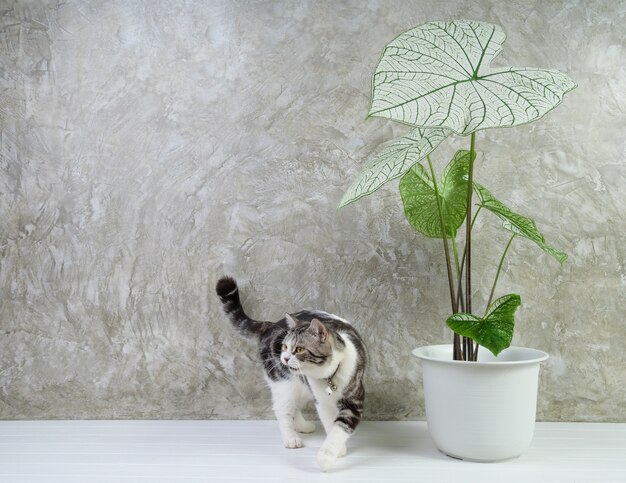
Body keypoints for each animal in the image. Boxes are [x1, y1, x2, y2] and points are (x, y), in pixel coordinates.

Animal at [214, 276, 366, 472]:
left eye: (299, 349)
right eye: (284, 346)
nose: (285, 358)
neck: (328, 377)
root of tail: (270, 325)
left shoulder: (354, 400)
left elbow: (338, 429)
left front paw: (329, 453)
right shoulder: (322, 401)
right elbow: (330, 423)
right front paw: (333, 453)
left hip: (301, 385)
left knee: (295, 405)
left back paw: (302, 426)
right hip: (284, 382)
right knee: (283, 408)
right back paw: (291, 437)